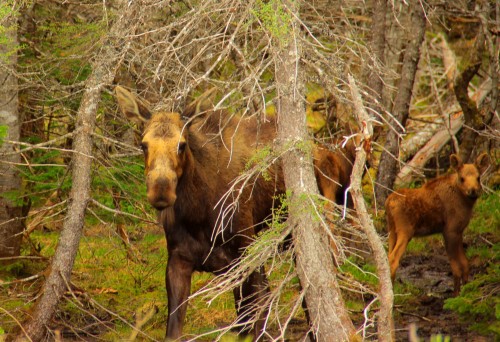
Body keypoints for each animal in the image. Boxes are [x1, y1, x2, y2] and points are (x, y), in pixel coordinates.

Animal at [386, 154, 488, 296]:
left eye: (478, 177)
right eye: (462, 178)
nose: (472, 191)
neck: (465, 203)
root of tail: (389, 203)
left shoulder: (459, 231)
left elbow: (465, 264)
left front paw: (465, 290)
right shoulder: (450, 230)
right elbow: (456, 267)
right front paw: (456, 295)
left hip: (392, 231)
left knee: (386, 257)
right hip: (405, 231)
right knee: (393, 259)